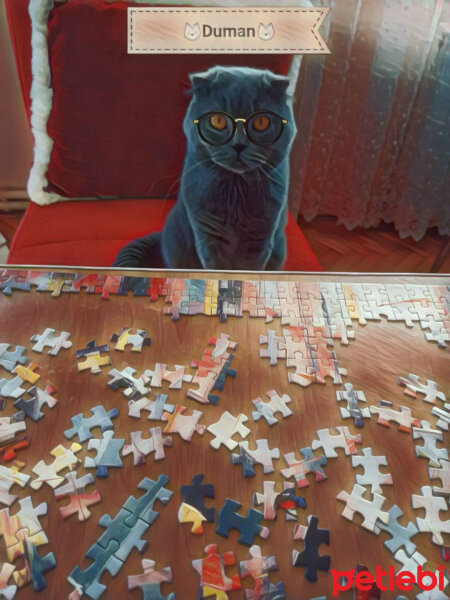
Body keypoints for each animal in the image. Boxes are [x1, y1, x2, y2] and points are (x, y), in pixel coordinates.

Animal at [112, 65, 298, 270]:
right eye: (218, 121)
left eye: (261, 122)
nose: (238, 145)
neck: (235, 194)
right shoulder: (207, 234)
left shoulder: (260, 237)